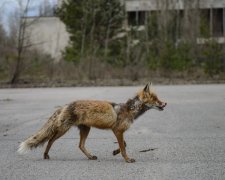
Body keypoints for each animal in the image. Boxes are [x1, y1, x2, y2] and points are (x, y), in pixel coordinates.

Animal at [17, 83, 166, 163]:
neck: (129, 110)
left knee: (80, 145)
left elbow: (124, 144)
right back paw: (45, 155)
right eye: (155, 100)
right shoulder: (117, 130)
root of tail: (66, 105)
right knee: (50, 140)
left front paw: (115, 152)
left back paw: (90, 156)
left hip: (85, 129)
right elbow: (124, 147)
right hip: (63, 130)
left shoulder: (118, 131)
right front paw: (127, 159)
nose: (165, 104)